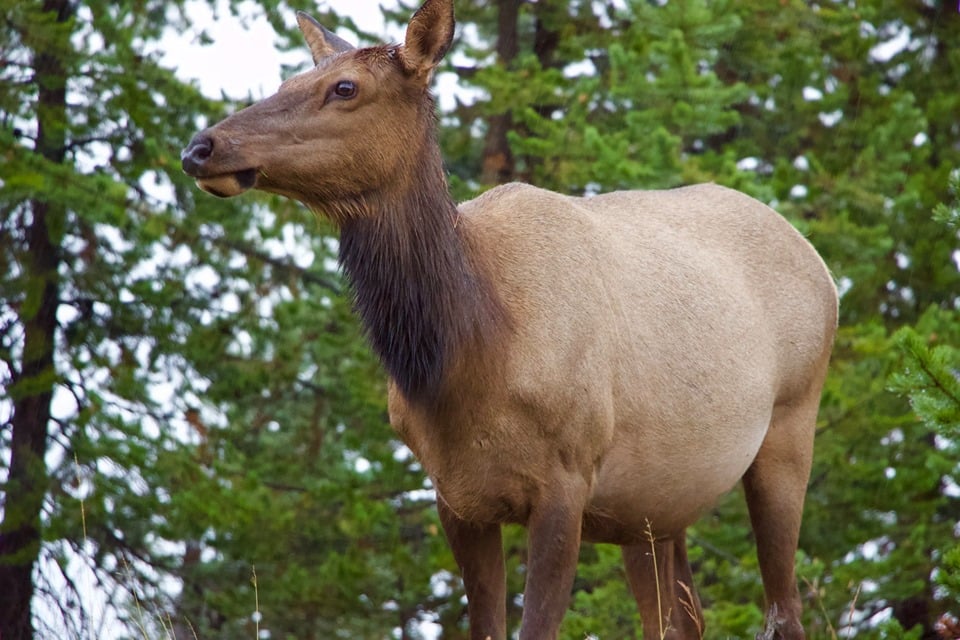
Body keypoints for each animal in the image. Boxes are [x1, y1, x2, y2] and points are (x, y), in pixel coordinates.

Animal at [181, 1, 838, 638]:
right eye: (288, 79)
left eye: (344, 87)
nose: (200, 148)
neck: (473, 353)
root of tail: (821, 266)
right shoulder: (456, 495)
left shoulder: (567, 481)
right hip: (655, 508)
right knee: (681, 620)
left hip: (788, 429)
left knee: (784, 613)